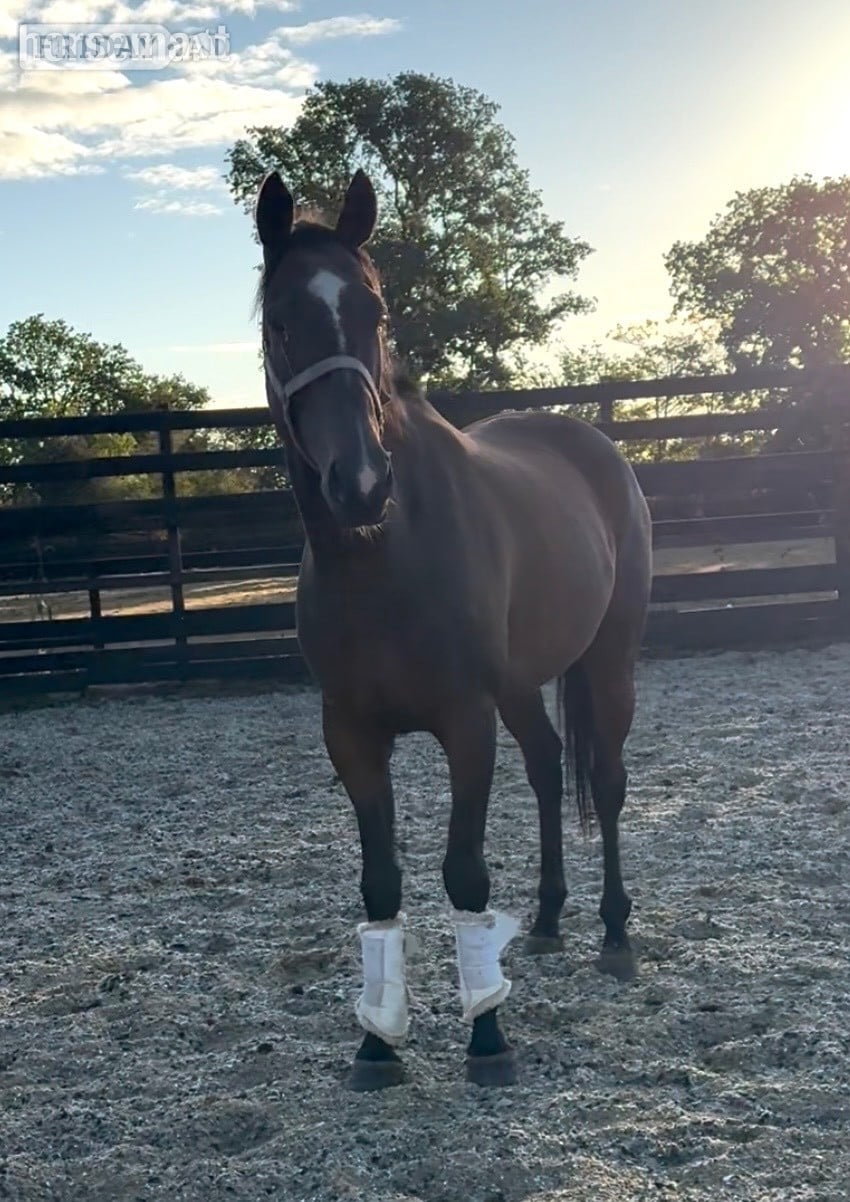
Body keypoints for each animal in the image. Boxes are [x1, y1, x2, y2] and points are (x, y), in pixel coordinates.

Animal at [253, 168, 653, 1091]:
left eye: (375, 313)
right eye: (280, 321)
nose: (361, 484)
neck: (382, 558)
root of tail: (594, 444)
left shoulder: (465, 723)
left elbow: (463, 874)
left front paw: (487, 1037)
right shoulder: (352, 734)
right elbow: (381, 883)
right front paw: (376, 1044)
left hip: (609, 658)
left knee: (605, 779)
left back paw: (615, 934)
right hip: (520, 686)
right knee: (547, 770)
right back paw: (546, 921)